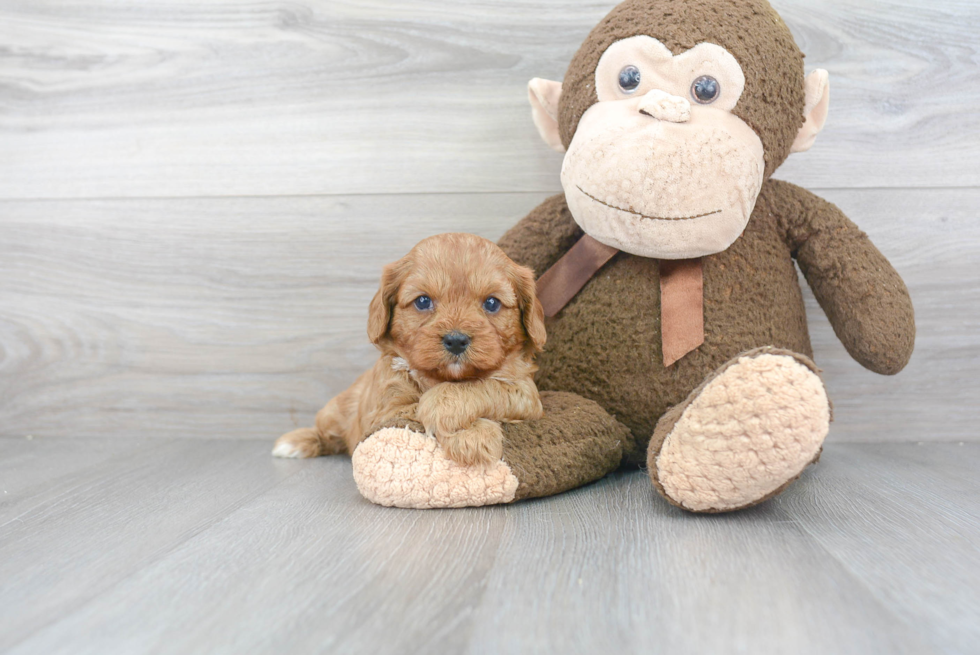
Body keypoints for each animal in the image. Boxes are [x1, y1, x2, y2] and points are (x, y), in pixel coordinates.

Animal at [270, 233, 544, 468]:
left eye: (492, 303)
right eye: (423, 301)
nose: (456, 340)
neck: (445, 377)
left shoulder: (526, 393)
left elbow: (485, 386)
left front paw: (464, 427)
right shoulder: (384, 411)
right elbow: (415, 407)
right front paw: (477, 434)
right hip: (335, 411)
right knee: (326, 432)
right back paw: (295, 442)